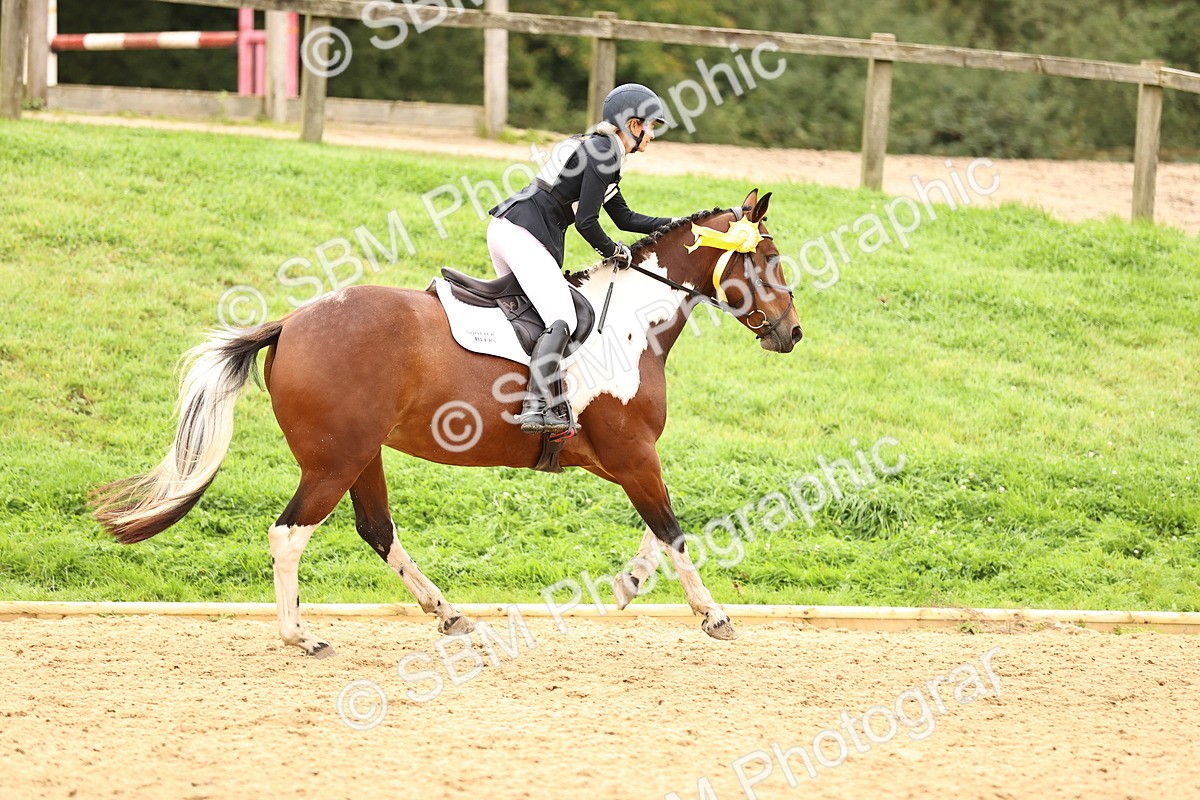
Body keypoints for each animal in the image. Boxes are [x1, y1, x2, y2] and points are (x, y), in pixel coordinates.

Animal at [90, 189, 802, 657]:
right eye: (768, 260)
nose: (792, 334)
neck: (631, 324)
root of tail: (290, 323)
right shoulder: (631, 454)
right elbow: (676, 531)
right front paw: (712, 616)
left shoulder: (617, 458)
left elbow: (661, 530)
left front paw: (629, 585)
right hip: (334, 461)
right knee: (288, 534)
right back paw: (300, 635)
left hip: (360, 455)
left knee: (376, 530)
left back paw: (447, 613)